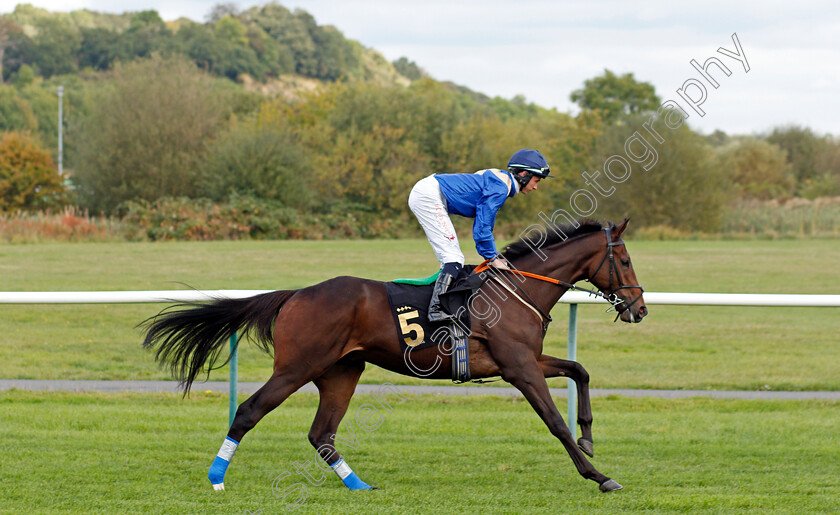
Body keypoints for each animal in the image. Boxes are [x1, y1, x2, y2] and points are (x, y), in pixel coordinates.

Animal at [141, 216, 648, 494]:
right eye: (624, 261)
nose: (639, 308)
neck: (516, 288)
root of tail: (296, 294)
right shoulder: (519, 367)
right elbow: (554, 421)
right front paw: (599, 475)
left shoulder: (522, 360)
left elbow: (579, 370)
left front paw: (588, 436)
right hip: (297, 366)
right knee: (249, 410)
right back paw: (217, 477)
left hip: (341, 371)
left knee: (322, 433)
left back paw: (359, 484)